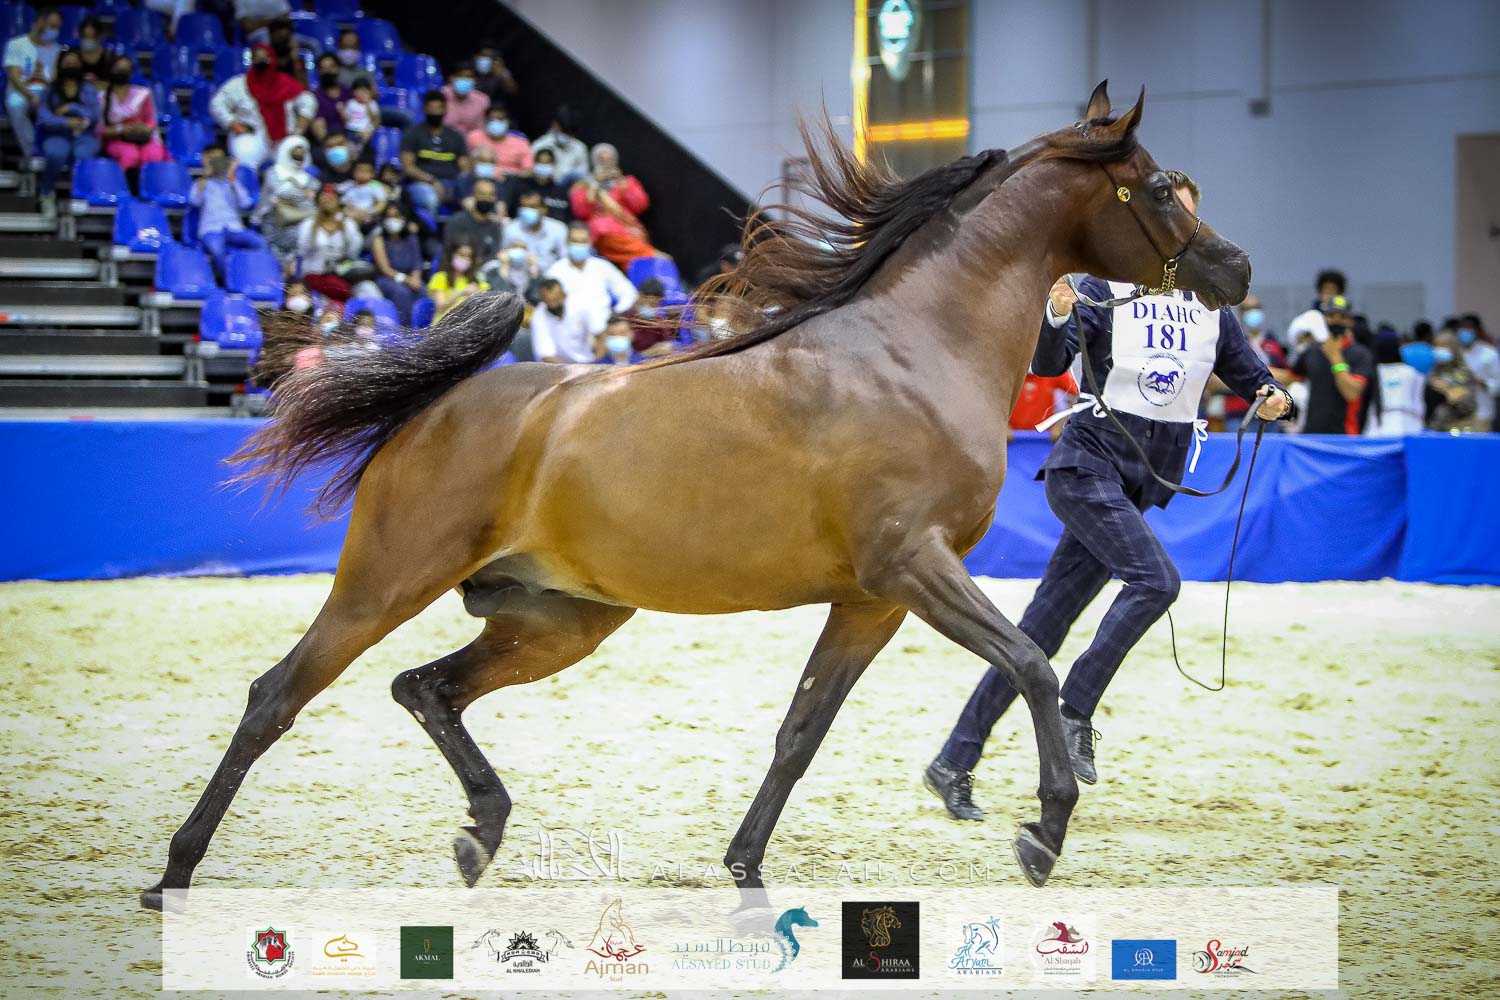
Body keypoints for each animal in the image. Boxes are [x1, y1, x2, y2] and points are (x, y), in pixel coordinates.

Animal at [138, 80, 1249, 910]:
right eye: (1160, 186)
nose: (1234, 267)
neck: (913, 353)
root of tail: (435, 407)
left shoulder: (871, 599)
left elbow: (802, 732)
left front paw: (744, 867)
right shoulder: (914, 566)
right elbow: (1032, 664)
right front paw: (1043, 832)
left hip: (561, 618)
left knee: (426, 689)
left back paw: (480, 834)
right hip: (386, 584)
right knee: (276, 697)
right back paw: (175, 872)